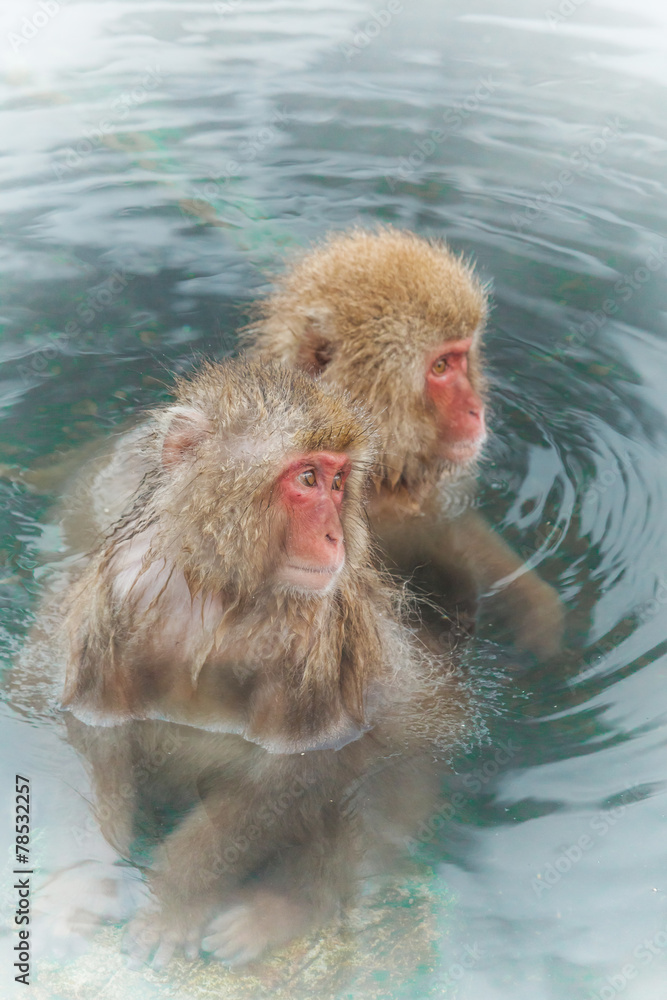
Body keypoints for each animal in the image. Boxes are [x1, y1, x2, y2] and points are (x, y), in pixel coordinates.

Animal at [44, 357, 473, 967]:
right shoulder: (119, 593)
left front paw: (175, 902)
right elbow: (100, 732)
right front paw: (87, 880)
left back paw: (290, 907)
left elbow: (287, 771)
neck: (222, 591)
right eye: (308, 479)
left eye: (338, 482)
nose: (335, 536)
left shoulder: (314, 635)